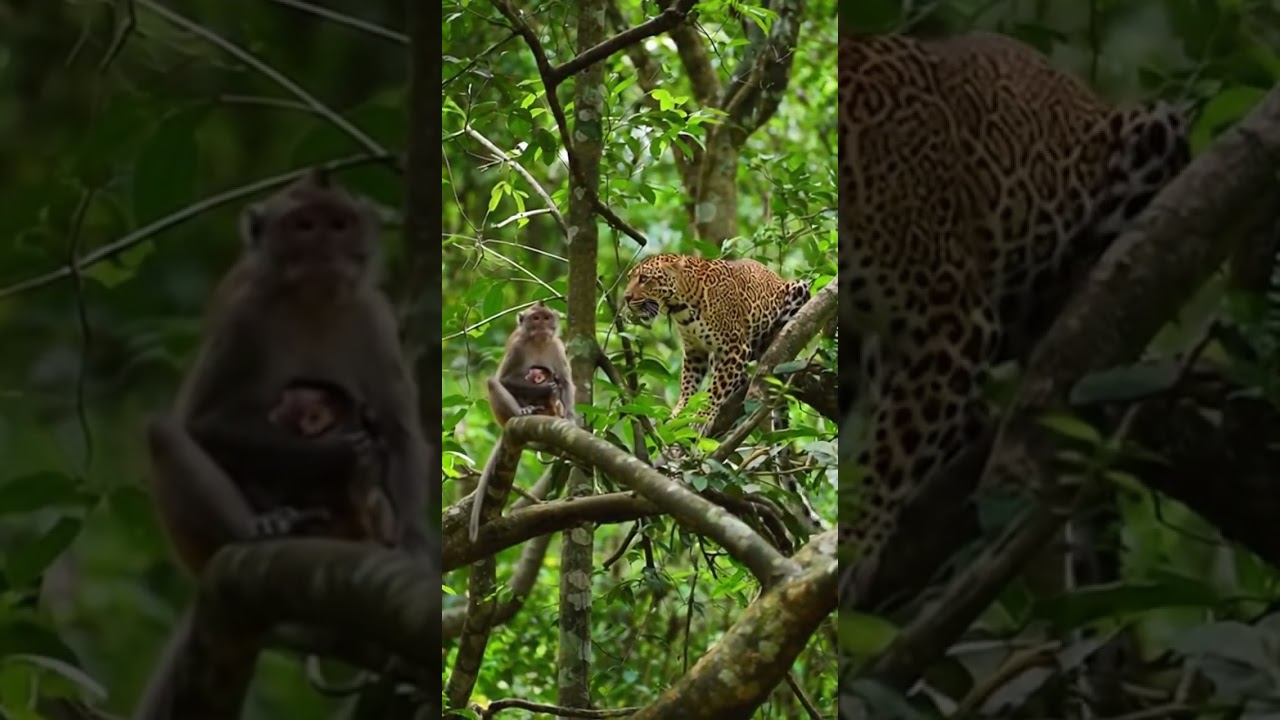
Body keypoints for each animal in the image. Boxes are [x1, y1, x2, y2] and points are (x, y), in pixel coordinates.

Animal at [134, 168, 433, 719]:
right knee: (164, 433)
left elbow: (400, 431)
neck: (312, 302)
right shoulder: (244, 319)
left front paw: (414, 544)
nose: (324, 251)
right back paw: (260, 528)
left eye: (339, 224)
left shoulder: (374, 317)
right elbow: (203, 424)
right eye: (304, 225)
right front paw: (334, 455)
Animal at [469, 302, 574, 541]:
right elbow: (504, 379)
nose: (542, 326)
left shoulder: (557, 347)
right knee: (493, 382)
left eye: (546, 317)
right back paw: (521, 412)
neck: (538, 342)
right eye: (535, 318)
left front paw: (572, 416)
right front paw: (544, 389)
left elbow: (565, 381)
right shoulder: (517, 348)